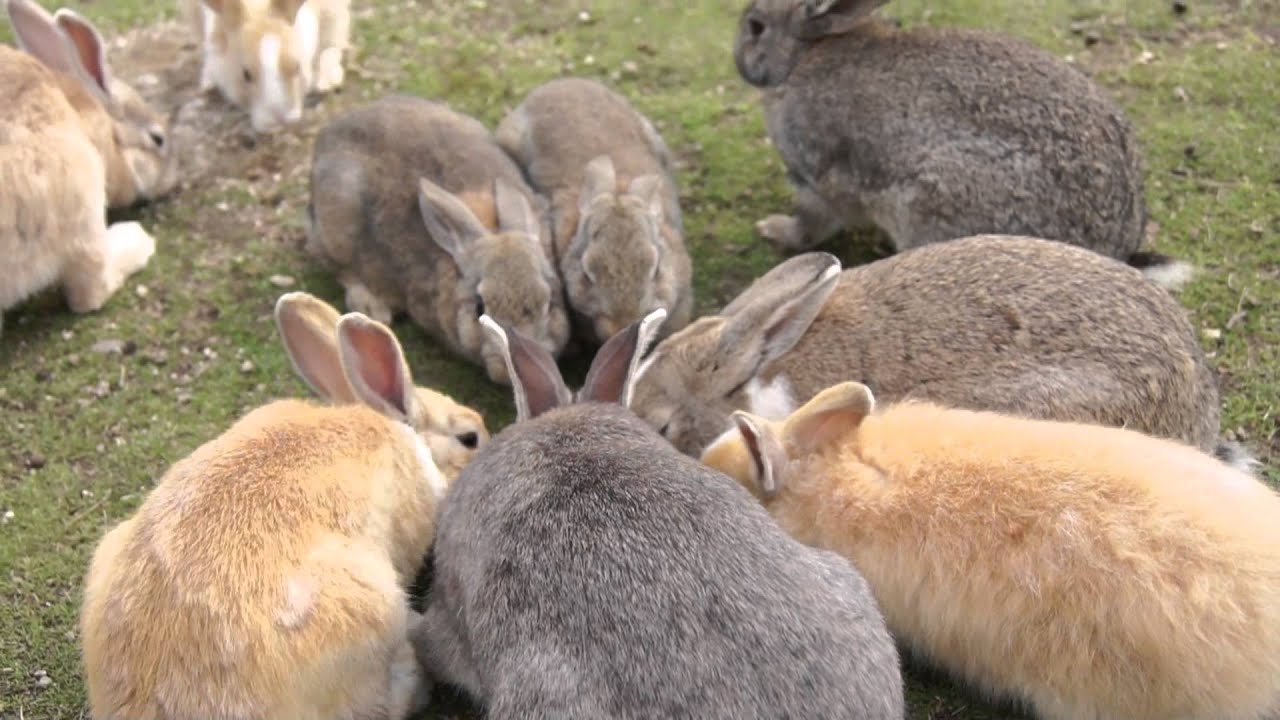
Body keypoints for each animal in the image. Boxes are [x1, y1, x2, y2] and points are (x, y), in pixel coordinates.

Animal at [180, 0, 349, 133]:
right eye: (246, 74)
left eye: (296, 66)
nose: (281, 120)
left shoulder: (334, 14)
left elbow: (329, 46)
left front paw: (327, 82)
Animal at [306, 94, 571, 385]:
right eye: (479, 308)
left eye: (549, 303)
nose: (507, 372)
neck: (491, 230)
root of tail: (327, 136)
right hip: (337, 226)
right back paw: (371, 307)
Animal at [734, 0, 1193, 290]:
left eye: (756, 26)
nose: (738, 58)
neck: (803, 56)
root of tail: (1114, 253)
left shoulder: (814, 178)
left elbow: (812, 224)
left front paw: (773, 230)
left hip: (936, 202)